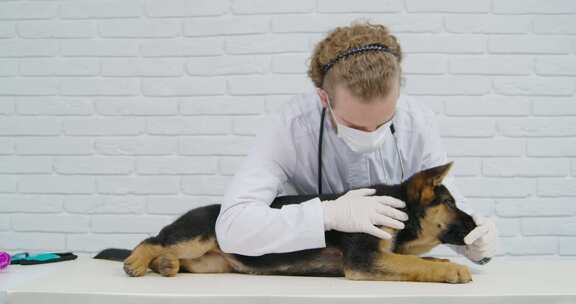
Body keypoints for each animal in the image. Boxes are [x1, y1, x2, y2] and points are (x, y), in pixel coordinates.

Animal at [97, 163, 476, 284]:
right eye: (450, 204)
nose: (475, 225)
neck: (400, 207)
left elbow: (419, 258)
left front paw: (443, 262)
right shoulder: (364, 259)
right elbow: (415, 262)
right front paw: (451, 270)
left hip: (213, 263)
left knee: (179, 258)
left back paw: (165, 265)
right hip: (200, 232)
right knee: (153, 238)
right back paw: (138, 261)